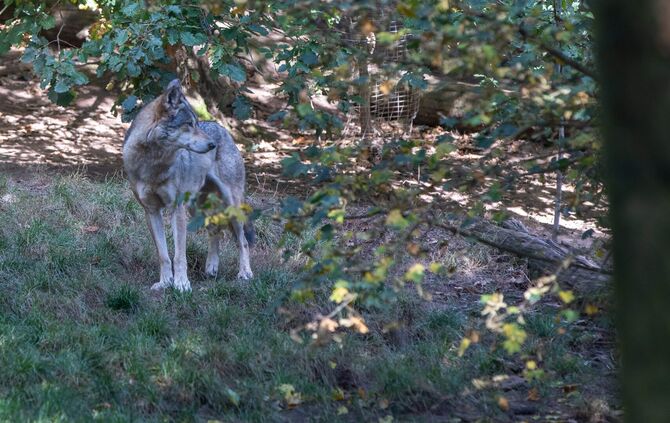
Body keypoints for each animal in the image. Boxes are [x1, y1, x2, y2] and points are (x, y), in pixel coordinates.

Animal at [123, 79, 253, 292]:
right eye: (189, 124)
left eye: (197, 123)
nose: (212, 145)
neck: (152, 164)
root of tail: (222, 129)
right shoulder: (151, 211)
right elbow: (163, 255)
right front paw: (165, 283)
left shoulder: (177, 209)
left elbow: (179, 256)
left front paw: (181, 284)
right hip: (195, 208)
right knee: (215, 230)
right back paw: (211, 268)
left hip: (229, 205)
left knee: (242, 241)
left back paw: (245, 273)